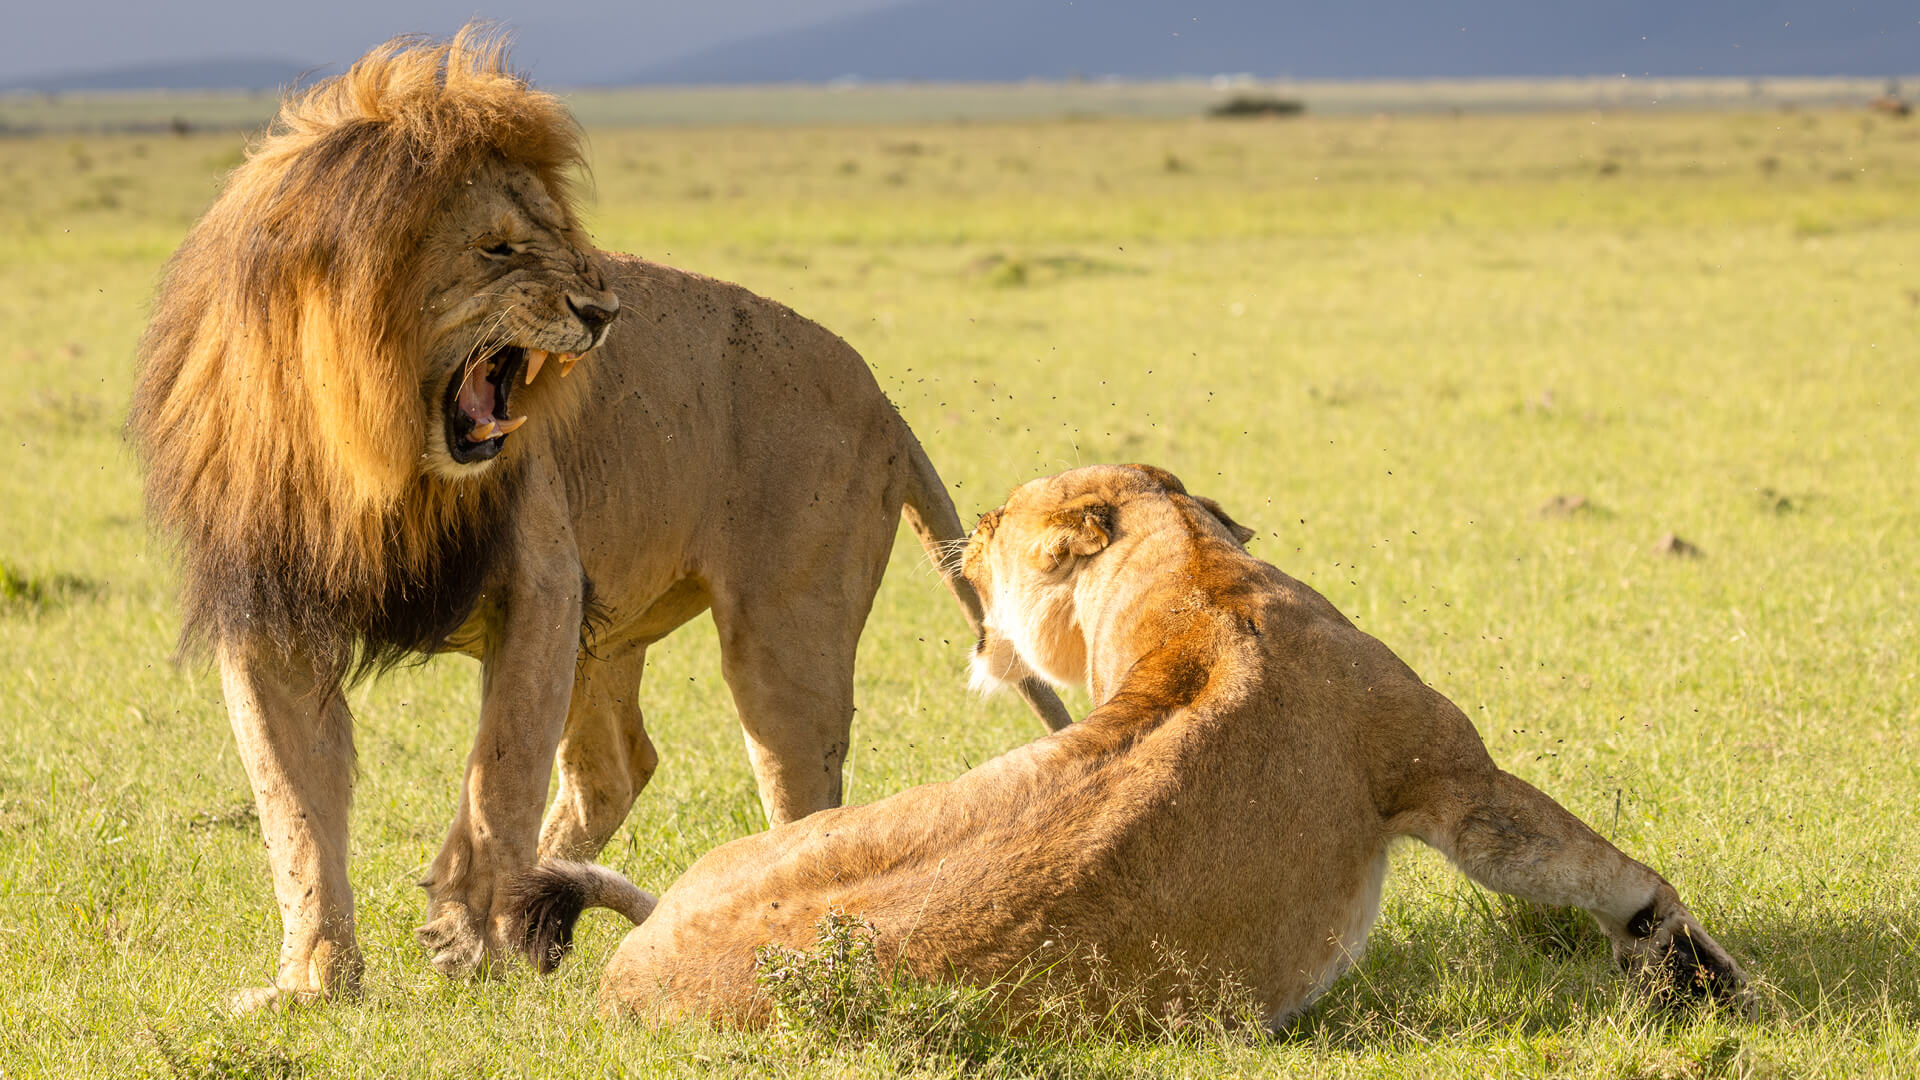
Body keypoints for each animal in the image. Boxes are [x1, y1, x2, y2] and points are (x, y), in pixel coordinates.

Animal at [127, 26, 1069, 1010]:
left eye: (561, 238)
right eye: (499, 248)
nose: (603, 308)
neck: (367, 454)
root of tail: (881, 396)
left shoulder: (539, 579)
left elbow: (499, 771)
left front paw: (468, 937)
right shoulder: (269, 606)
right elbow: (293, 808)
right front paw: (313, 982)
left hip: (782, 635)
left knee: (800, 784)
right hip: (612, 624)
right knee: (615, 765)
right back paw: (546, 904)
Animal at [509, 463, 1748, 1030]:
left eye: (1001, 524)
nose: (965, 536)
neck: (1191, 581)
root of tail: (637, 955)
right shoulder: (1442, 772)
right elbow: (1578, 861)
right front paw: (1692, 964)